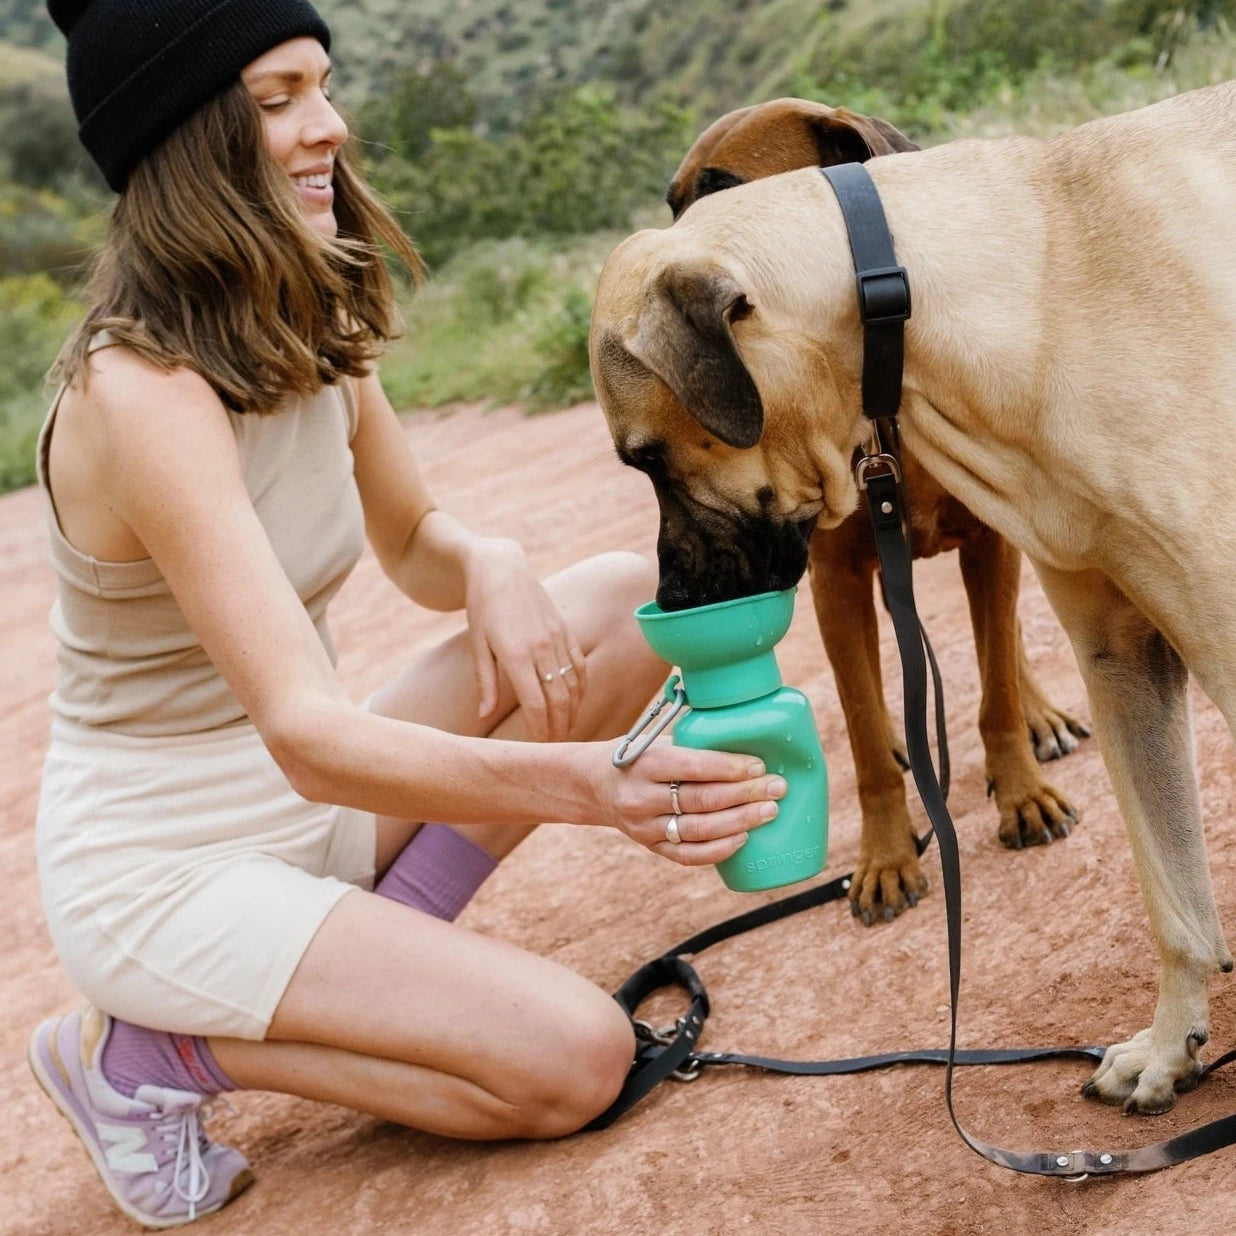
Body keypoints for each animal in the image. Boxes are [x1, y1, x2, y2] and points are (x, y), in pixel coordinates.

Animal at [667, 101, 1092, 929]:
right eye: (669, 207)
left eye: (725, 195)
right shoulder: (836, 582)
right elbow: (863, 733)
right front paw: (888, 858)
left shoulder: (990, 544)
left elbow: (995, 686)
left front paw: (1021, 791)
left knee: (1005, 644)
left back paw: (1039, 718)